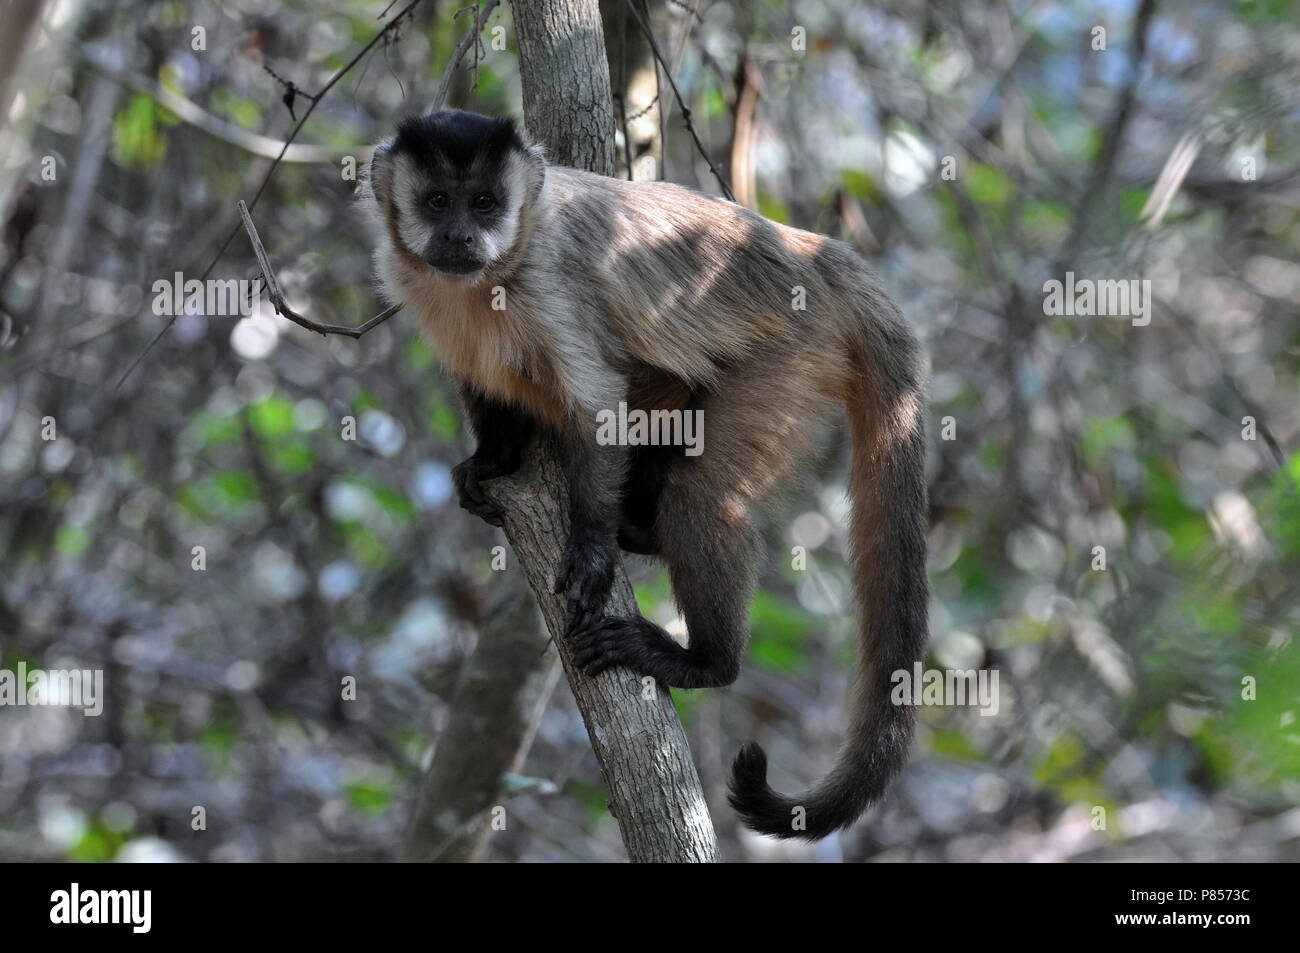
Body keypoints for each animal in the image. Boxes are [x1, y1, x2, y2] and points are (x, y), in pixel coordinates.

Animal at [366, 111, 930, 842]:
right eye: (438, 201)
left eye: (485, 203)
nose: (462, 234)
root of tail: (817, 251)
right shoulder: (410, 279)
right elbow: (484, 381)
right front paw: (492, 461)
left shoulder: (551, 281)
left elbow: (599, 406)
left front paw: (590, 552)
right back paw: (640, 527)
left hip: (794, 349)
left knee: (700, 493)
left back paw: (705, 661)